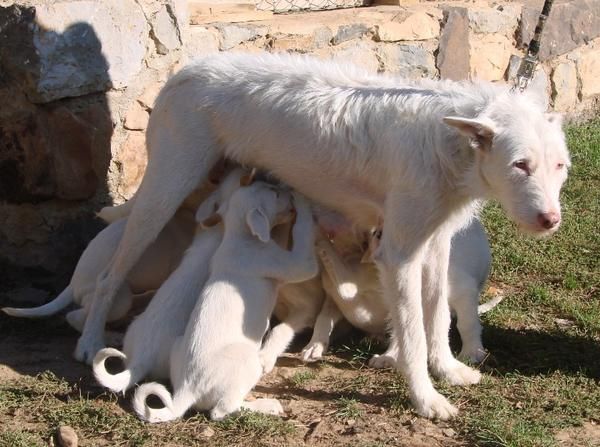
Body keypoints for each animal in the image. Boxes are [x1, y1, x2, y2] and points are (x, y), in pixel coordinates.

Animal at [132, 183, 318, 424]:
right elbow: (303, 236)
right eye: (275, 194)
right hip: (248, 361)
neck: (238, 237)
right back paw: (266, 406)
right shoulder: (294, 263)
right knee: (222, 411)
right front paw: (304, 203)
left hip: (178, 345)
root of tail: (186, 390)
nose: (286, 188)